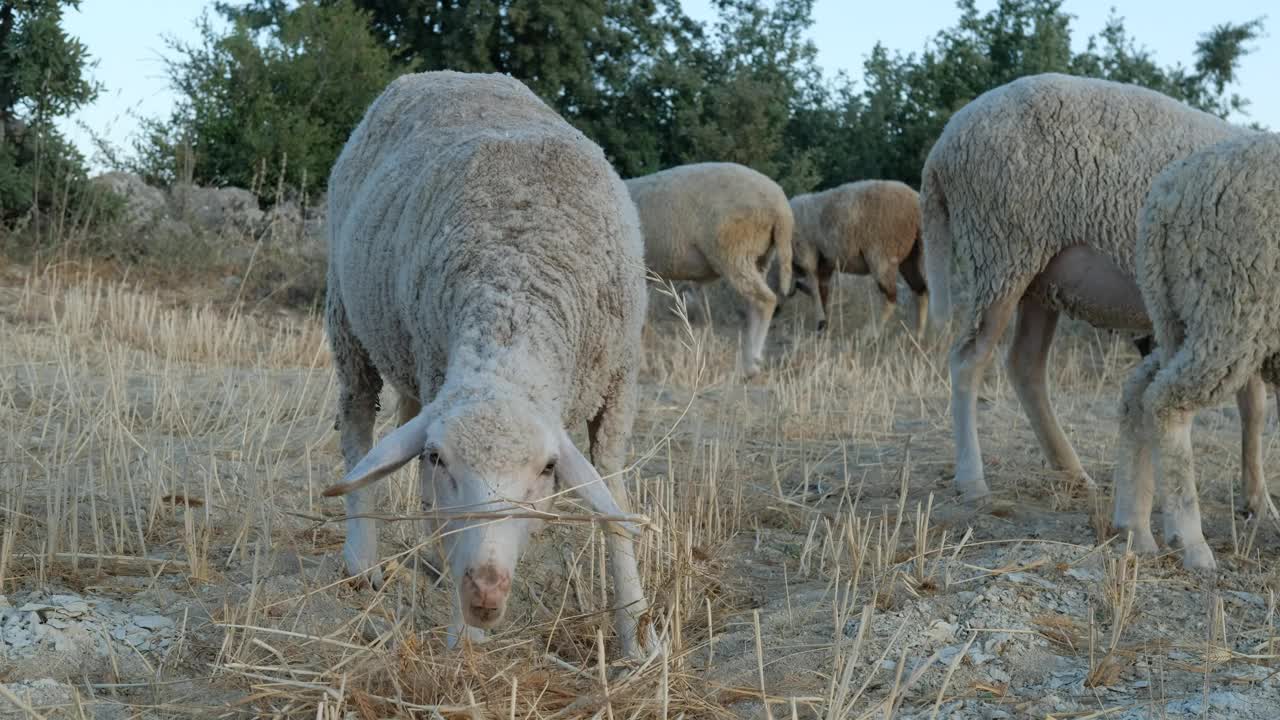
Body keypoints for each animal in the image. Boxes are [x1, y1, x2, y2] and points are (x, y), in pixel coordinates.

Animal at [320, 70, 660, 661]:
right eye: (441, 458)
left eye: (547, 469)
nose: (484, 590)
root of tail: (443, 73)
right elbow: (448, 514)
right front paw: (464, 643)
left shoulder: (617, 390)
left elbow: (613, 504)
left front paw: (636, 631)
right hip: (349, 319)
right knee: (358, 422)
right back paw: (363, 560)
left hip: (411, 353)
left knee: (403, 418)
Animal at [624, 162, 793, 376]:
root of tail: (781, 208)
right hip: (760, 258)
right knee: (755, 303)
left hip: (735, 251)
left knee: (766, 300)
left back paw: (750, 364)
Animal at [762, 179, 926, 335]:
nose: (774, 313)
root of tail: (915, 204)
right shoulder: (825, 264)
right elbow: (823, 292)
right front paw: (825, 325)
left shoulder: (806, 254)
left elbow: (814, 288)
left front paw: (821, 322)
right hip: (910, 256)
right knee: (921, 290)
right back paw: (916, 334)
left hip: (882, 255)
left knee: (890, 297)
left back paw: (869, 334)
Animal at [921, 71, 1269, 504]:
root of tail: (942, 145)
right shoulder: (1242, 298)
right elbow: (1254, 406)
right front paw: (1260, 501)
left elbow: (1252, 405)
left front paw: (1255, 498)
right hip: (1001, 249)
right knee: (969, 360)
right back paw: (973, 481)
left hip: (1040, 276)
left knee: (1025, 365)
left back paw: (1072, 471)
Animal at [1111, 131, 1280, 568]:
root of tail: (1167, 195)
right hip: (1228, 307)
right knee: (1167, 402)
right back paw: (1190, 541)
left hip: (1178, 315)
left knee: (1138, 391)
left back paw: (1135, 528)